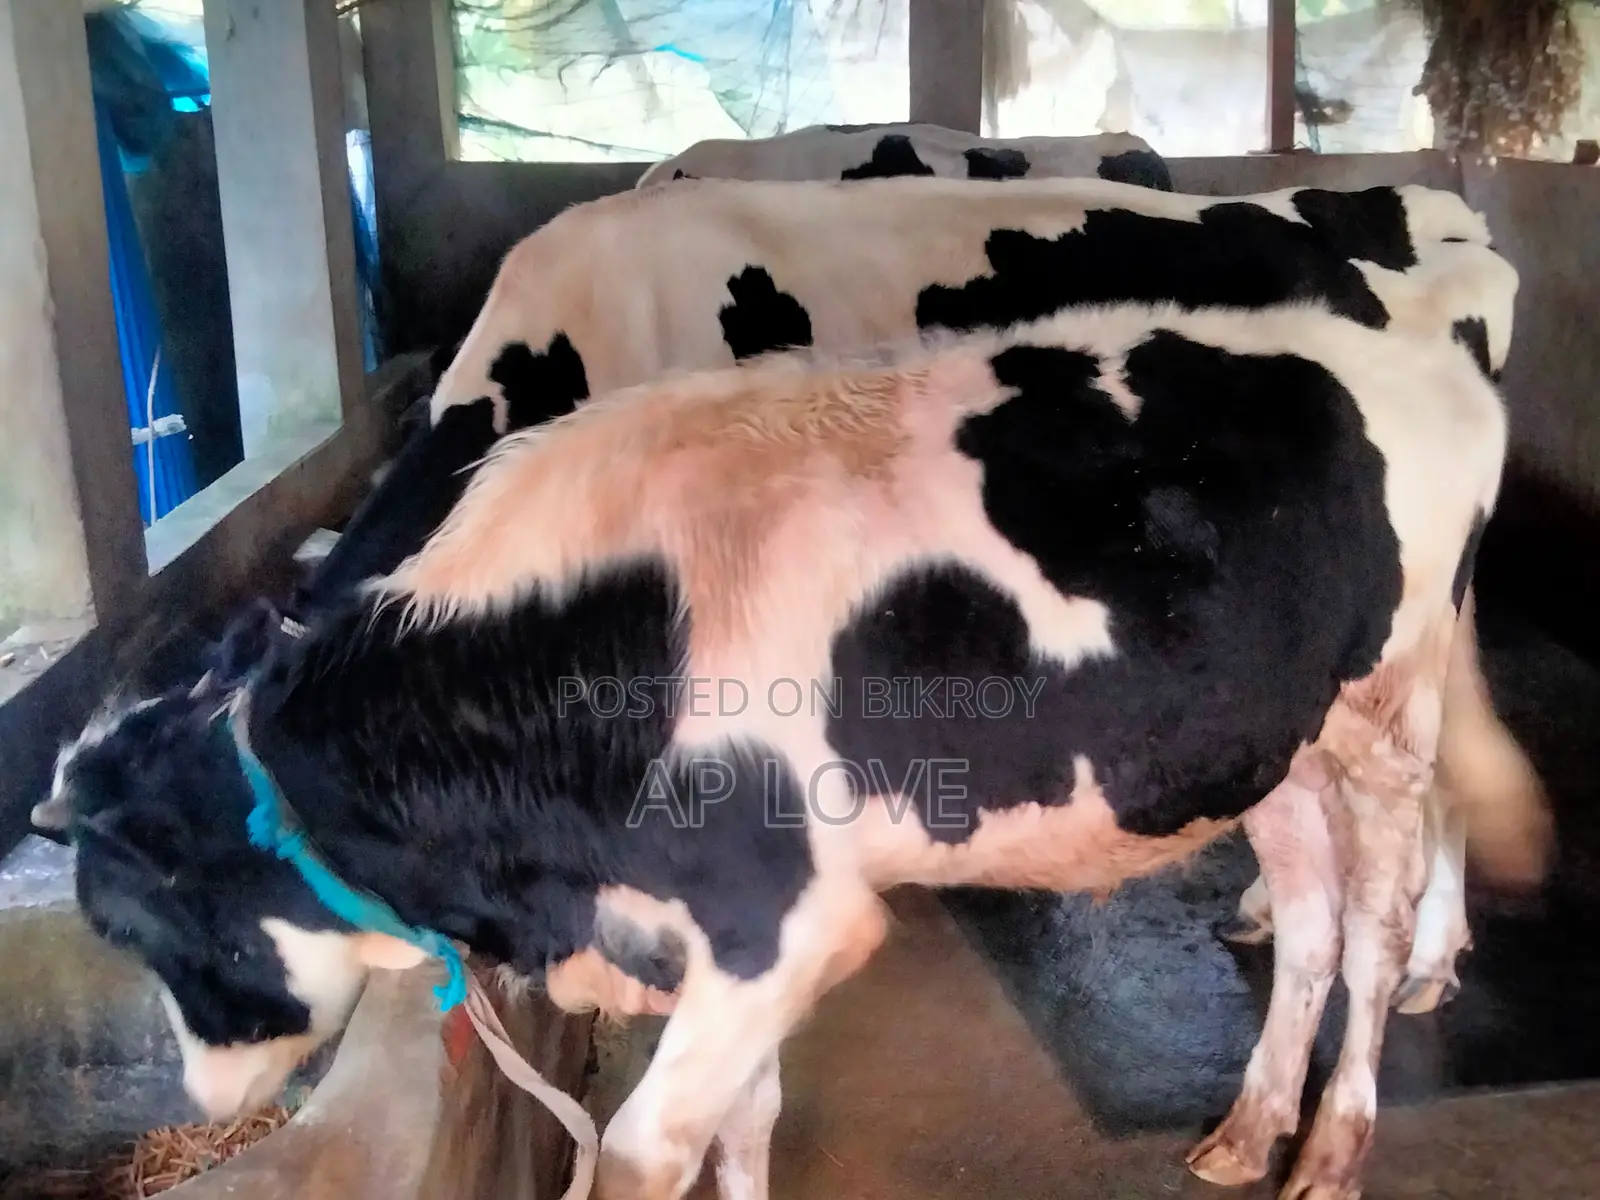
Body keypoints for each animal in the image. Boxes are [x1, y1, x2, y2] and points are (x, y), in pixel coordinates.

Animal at [35, 299, 1516, 1200]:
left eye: (158, 930)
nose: (202, 1094)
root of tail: (1425, 358)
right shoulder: (711, 944)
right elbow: (739, 1125)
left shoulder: (785, 920)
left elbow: (644, 1153)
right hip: (1275, 742)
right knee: (1309, 925)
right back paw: (1249, 1130)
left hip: (1390, 716)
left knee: (1374, 934)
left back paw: (1334, 1142)